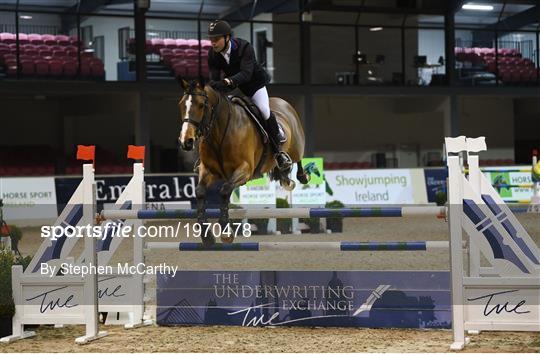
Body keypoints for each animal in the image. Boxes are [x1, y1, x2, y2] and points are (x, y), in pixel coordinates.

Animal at [178, 80, 308, 246]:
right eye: (181, 105)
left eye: (201, 105)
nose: (186, 141)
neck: (219, 134)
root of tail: (284, 103)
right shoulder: (208, 170)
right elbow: (200, 192)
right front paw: (206, 235)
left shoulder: (244, 170)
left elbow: (225, 190)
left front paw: (226, 232)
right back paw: (285, 177)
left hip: (297, 145)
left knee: (298, 159)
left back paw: (298, 175)